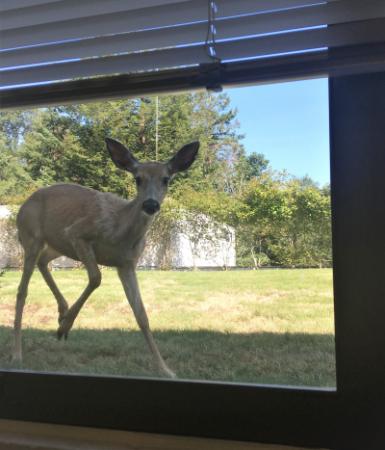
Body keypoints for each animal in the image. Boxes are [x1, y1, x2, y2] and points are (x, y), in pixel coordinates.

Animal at [12, 139, 198, 378]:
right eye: (138, 178)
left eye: (166, 179)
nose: (150, 204)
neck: (120, 231)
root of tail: (23, 206)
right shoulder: (77, 233)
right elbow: (96, 277)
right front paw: (65, 326)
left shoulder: (127, 264)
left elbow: (141, 315)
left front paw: (165, 370)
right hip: (32, 236)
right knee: (22, 290)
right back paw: (18, 353)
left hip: (58, 244)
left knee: (43, 261)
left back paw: (62, 309)